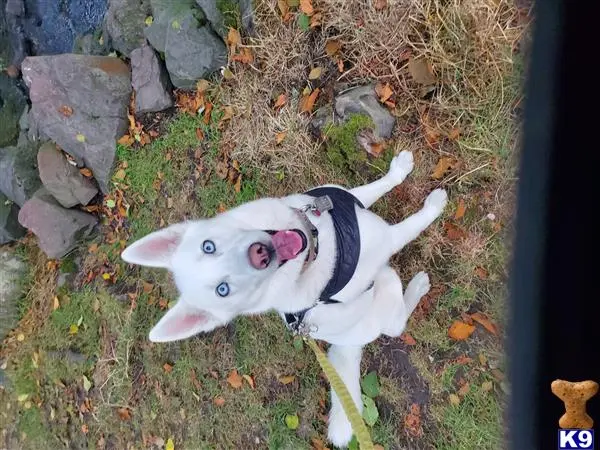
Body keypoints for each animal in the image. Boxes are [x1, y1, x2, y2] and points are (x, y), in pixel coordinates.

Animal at [120, 151, 446, 446]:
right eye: (223, 290)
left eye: (208, 246)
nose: (260, 254)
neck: (315, 243)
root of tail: (346, 344)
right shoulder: (388, 239)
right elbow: (412, 225)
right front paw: (434, 206)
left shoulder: (346, 200)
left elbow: (378, 186)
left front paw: (399, 169)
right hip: (386, 294)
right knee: (396, 317)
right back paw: (416, 285)